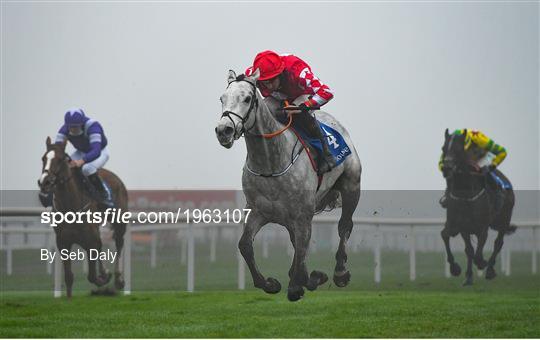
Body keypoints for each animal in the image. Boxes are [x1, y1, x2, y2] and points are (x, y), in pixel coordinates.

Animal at [38, 137, 129, 298]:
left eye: (60, 159)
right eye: (43, 158)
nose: (45, 182)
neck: (71, 207)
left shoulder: (90, 241)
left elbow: (92, 276)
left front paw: (104, 277)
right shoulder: (63, 242)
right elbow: (69, 277)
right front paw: (69, 298)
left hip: (119, 221)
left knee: (119, 243)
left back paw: (118, 279)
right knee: (102, 246)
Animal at [215, 68, 362, 300]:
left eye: (247, 99)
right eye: (222, 98)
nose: (224, 131)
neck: (270, 165)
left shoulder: (303, 214)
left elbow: (302, 247)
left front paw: (295, 286)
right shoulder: (257, 210)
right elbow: (245, 245)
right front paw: (270, 283)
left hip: (351, 186)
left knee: (344, 226)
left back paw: (339, 272)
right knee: (296, 242)